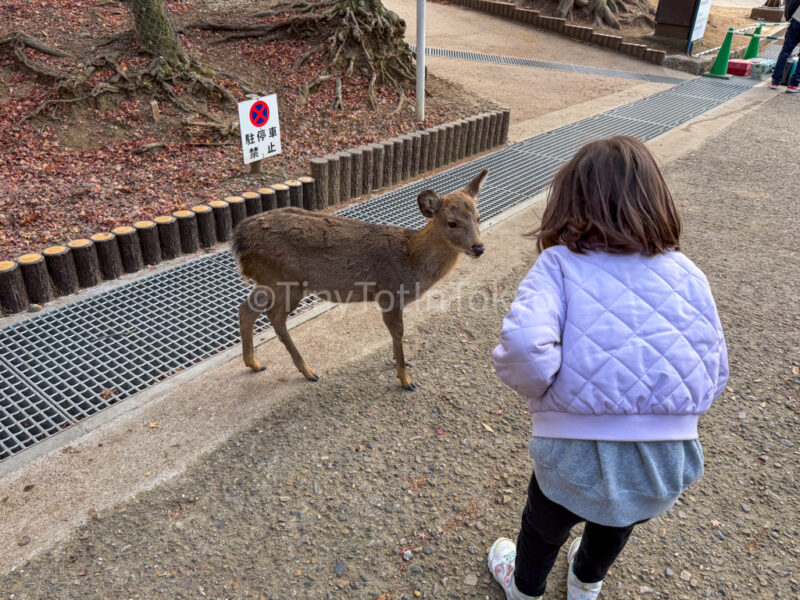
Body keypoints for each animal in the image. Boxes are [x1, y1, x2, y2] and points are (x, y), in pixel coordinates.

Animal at [232, 168, 488, 390]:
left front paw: (401, 363)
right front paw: (406, 379)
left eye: (478, 217)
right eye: (452, 222)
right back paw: (308, 371)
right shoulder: (389, 294)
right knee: (275, 317)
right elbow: (398, 332)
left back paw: (255, 364)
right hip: (285, 280)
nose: (478, 248)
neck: (412, 261)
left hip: (268, 279)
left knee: (247, 308)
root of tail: (238, 239)